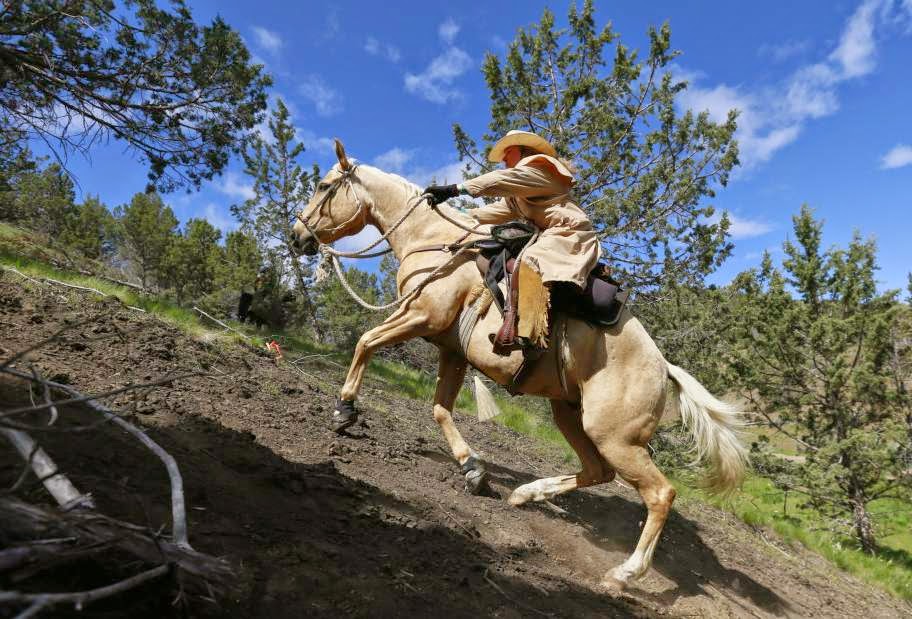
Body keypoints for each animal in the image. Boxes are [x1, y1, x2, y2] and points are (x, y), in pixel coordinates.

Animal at [290, 140, 748, 589]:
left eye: (323, 186)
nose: (297, 236)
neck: (433, 240)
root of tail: (663, 366)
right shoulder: (451, 350)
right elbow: (440, 409)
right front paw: (472, 469)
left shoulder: (421, 317)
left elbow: (366, 343)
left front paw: (344, 411)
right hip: (571, 415)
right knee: (597, 471)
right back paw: (527, 494)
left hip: (616, 437)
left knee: (659, 494)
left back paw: (625, 572)